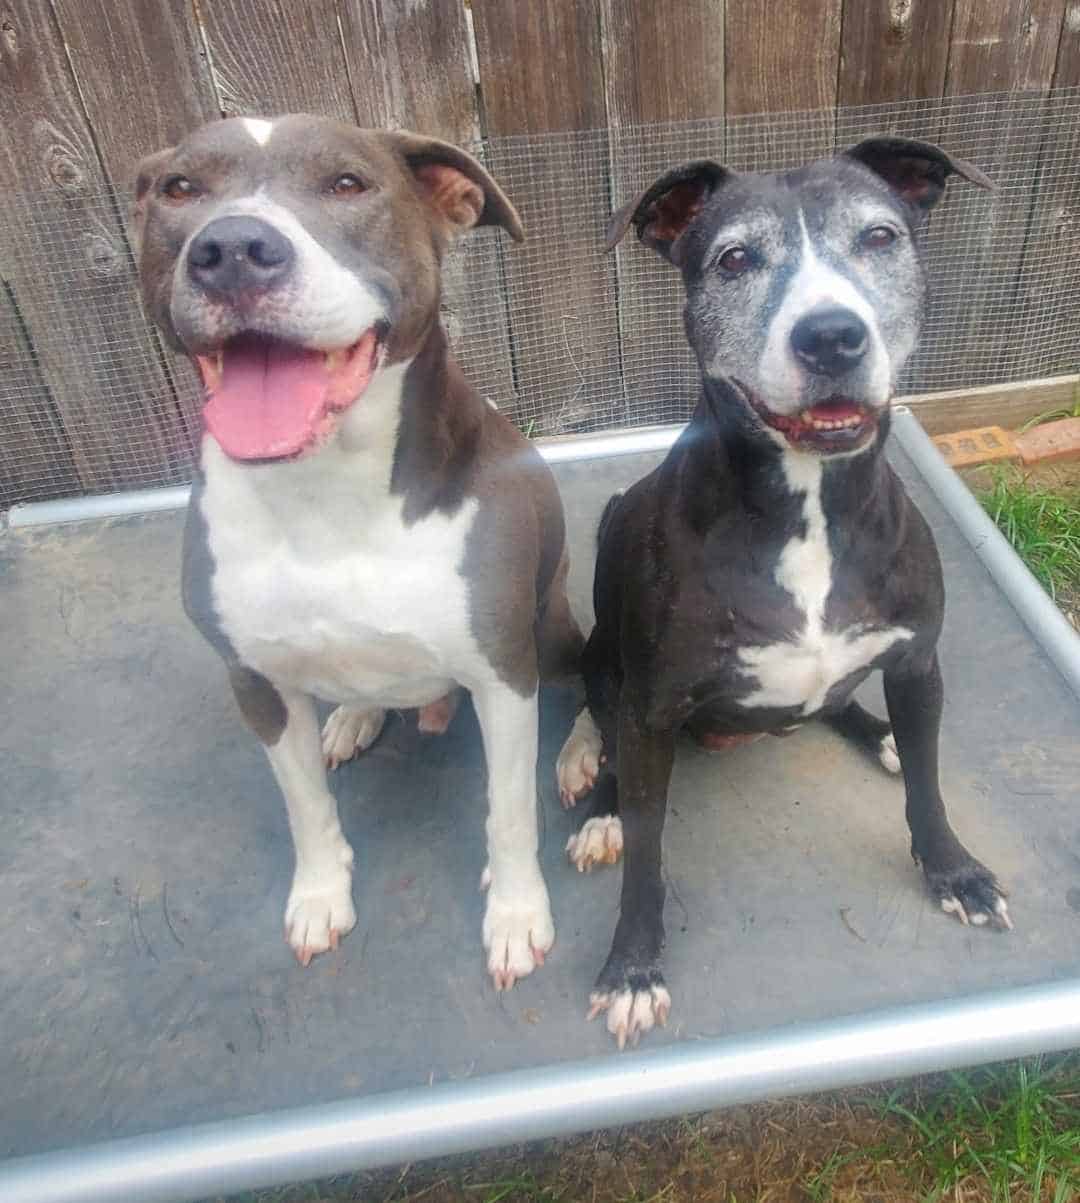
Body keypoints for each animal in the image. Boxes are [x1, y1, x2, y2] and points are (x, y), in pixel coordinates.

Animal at [555, 136, 1010, 1049]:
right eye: (735, 258)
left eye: (879, 237)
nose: (832, 335)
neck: (810, 505)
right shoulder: (652, 707)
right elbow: (649, 854)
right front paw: (633, 967)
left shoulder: (919, 664)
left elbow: (930, 787)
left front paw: (954, 871)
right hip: (607, 663)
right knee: (610, 734)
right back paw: (603, 809)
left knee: (840, 706)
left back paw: (877, 733)